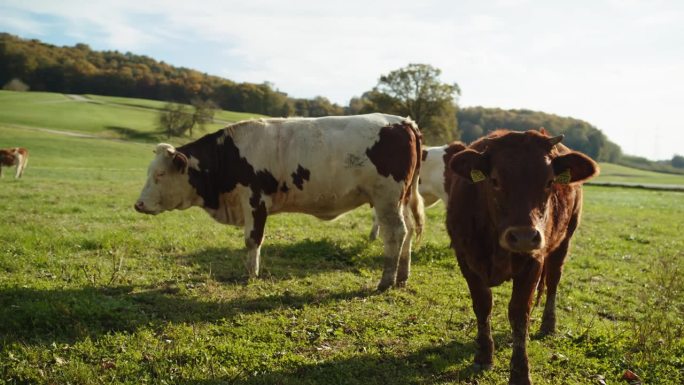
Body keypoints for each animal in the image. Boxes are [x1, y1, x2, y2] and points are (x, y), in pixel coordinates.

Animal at [134, 112, 422, 290]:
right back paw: (402, 277)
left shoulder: (255, 200)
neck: (229, 155)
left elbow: (252, 240)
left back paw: (386, 281)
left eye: (160, 174)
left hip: (386, 198)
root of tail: (403, 121)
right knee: (408, 231)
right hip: (402, 199)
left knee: (395, 233)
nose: (139, 204)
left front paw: (251, 275)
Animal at [444, 130, 600, 384]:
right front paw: (483, 356)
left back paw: (548, 324)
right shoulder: (465, 258)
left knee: (554, 280)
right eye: (495, 180)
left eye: (549, 182)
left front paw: (519, 373)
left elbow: (518, 314)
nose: (525, 237)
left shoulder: (533, 262)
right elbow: (483, 304)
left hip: (565, 239)